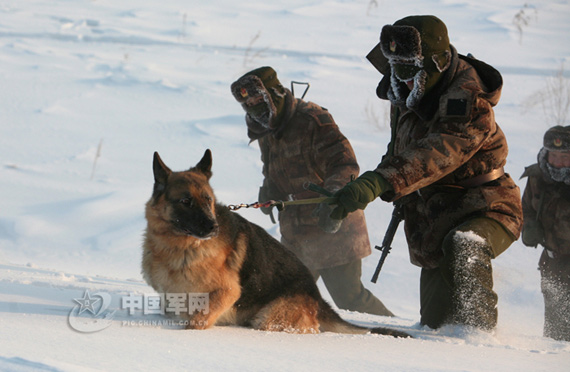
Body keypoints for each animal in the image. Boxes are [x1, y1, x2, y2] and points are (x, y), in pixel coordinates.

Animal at [142, 149, 408, 338]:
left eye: (208, 200)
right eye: (186, 201)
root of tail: (317, 296)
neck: (181, 246)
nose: (213, 227)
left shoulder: (227, 292)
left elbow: (195, 323)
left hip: (269, 317)